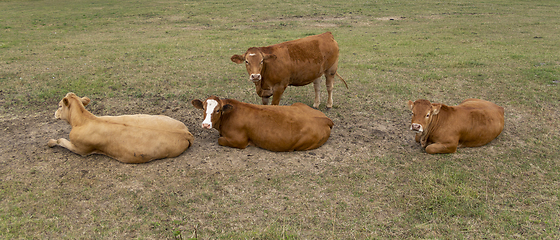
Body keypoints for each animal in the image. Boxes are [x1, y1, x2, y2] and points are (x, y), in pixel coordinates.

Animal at [47, 92, 195, 163]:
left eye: (60, 105)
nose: (54, 113)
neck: (84, 120)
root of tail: (185, 132)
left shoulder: (80, 149)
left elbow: (61, 140)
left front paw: (51, 142)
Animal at [192, 96, 332, 151]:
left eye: (218, 110)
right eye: (203, 108)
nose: (205, 124)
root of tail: (325, 119)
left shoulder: (239, 141)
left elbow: (220, 140)